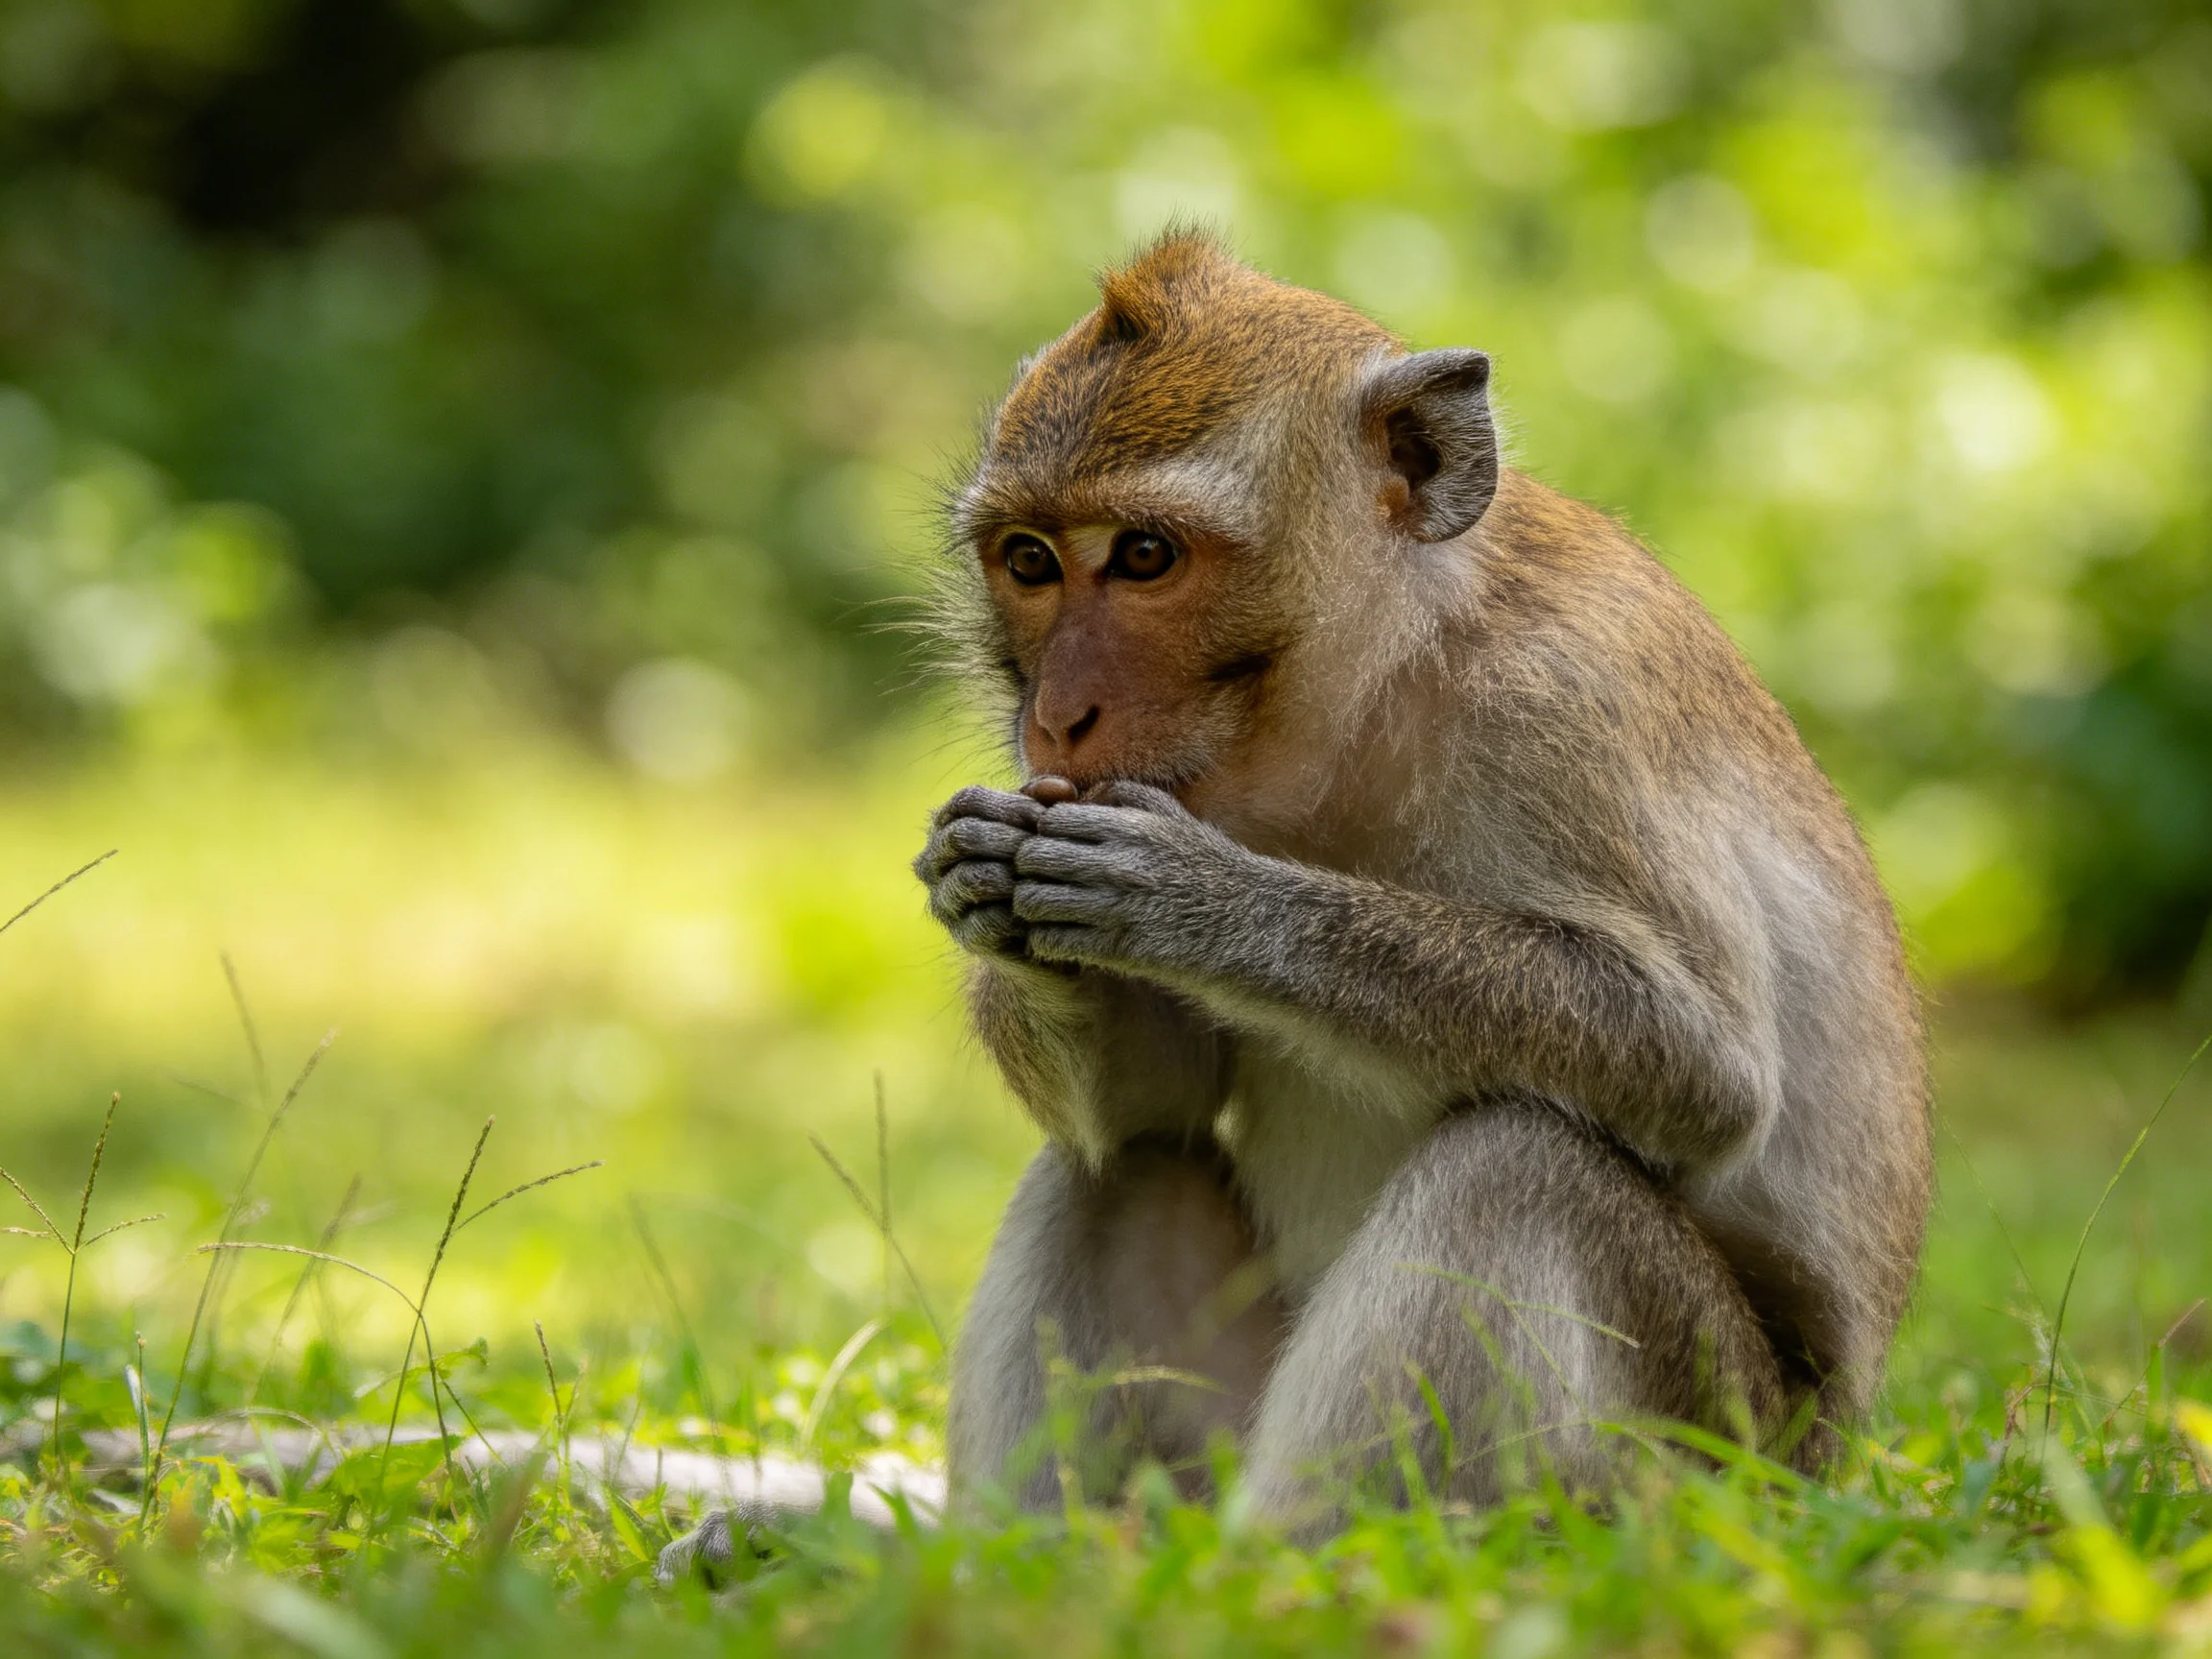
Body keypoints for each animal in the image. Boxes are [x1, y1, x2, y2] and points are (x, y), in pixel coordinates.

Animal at [903, 229, 1930, 1537]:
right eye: (1030, 561)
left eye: (1143, 556)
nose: (1056, 718)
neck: (1389, 669)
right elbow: (1156, 1103)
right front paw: (989, 884)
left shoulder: (1566, 705)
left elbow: (1702, 1064)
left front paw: (1201, 903)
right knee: (1116, 1170)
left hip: (1705, 1456)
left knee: (1524, 1165)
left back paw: (1276, 1563)